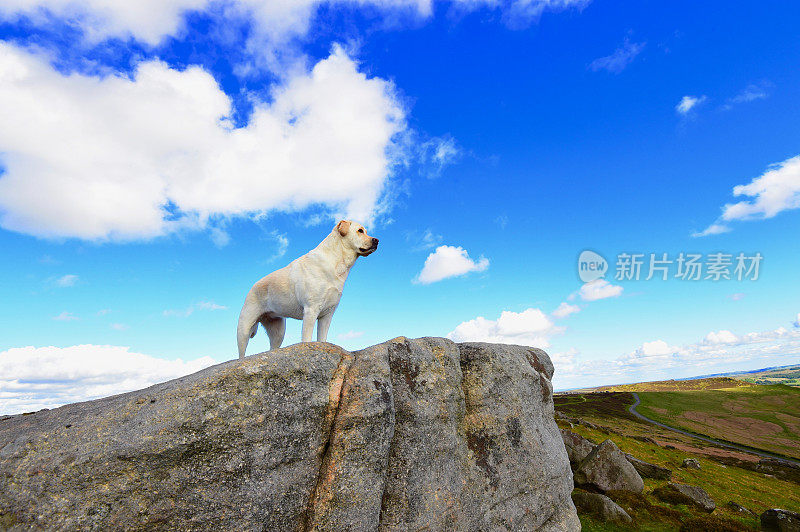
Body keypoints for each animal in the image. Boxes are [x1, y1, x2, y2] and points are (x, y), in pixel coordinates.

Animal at [236, 218, 380, 360]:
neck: (336, 261)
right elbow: (307, 339)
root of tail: (252, 287)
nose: (377, 240)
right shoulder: (311, 310)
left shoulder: (327, 314)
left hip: (278, 331)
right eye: (360, 231)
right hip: (244, 329)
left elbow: (322, 338)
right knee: (241, 354)